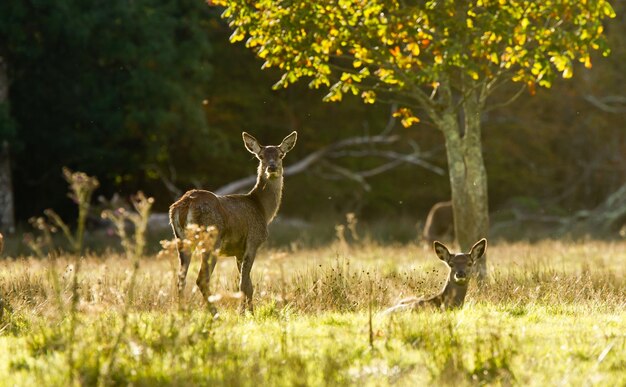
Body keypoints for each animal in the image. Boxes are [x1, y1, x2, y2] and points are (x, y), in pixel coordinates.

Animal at [168, 132, 298, 314]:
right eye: (261, 156)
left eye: (280, 155)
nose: (272, 168)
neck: (262, 209)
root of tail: (186, 203)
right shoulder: (253, 240)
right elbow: (244, 283)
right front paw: (244, 313)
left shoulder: (238, 251)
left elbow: (248, 284)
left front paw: (248, 311)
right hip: (211, 239)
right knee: (201, 279)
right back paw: (215, 313)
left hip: (181, 239)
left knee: (181, 277)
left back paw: (181, 312)